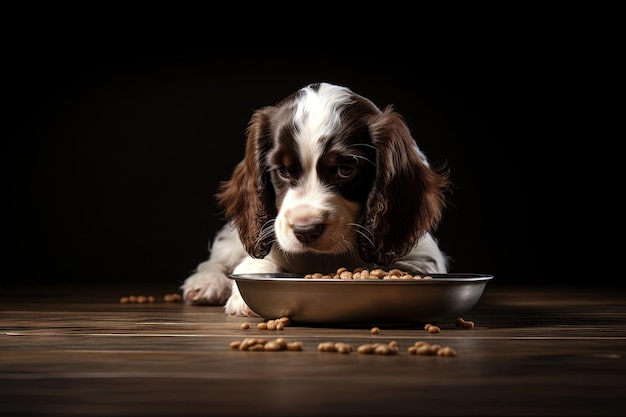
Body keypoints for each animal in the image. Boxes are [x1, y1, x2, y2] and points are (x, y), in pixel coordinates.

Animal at [180, 82, 448, 316]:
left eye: (345, 170)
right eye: (283, 171)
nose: (306, 230)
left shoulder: (421, 257)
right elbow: (257, 262)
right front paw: (242, 297)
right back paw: (206, 282)